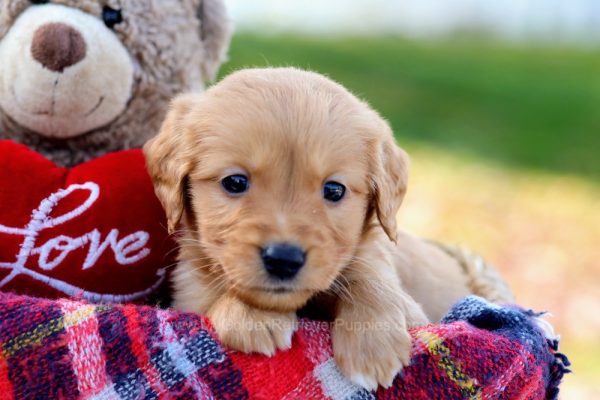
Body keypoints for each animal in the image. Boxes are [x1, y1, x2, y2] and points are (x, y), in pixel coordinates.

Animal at [144, 66, 510, 390]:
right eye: (235, 182)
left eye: (334, 189)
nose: (284, 259)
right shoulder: (191, 293)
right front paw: (251, 315)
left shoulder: (398, 289)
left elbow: (368, 274)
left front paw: (372, 343)